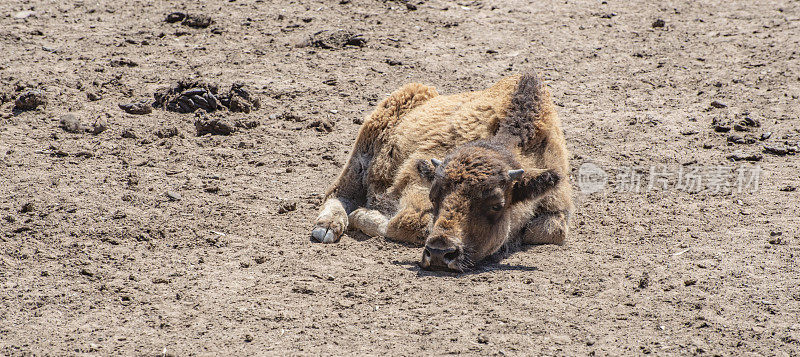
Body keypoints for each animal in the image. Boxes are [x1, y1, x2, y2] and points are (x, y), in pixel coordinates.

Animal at [312, 73, 576, 272]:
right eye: (433, 196)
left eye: (496, 205)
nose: (440, 252)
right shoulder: (415, 185)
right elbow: (408, 223)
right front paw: (360, 214)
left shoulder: (556, 208)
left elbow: (548, 231)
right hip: (364, 149)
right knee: (338, 193)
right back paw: (326, 228)